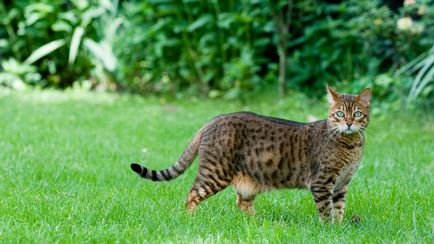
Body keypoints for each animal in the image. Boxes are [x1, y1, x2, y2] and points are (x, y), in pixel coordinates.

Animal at [131, 86, 372, 223]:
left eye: (357, 114)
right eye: (339, 114)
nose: (349, 123)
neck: (351, 145)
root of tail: (212, 120)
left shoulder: (342, 183)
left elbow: (339, 208)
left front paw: (338, 228)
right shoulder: (322, 182)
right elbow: (326, 210)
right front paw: (329, 229)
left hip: (249, 181)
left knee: (241, 202)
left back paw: (262, 223)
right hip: (216, 172)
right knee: (192, 194)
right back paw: (191, 219)